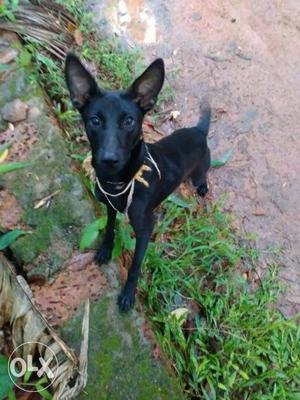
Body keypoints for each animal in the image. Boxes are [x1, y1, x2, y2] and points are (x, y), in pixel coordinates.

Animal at [65, 54, 211, 312]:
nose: (109, 159)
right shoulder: (110, 206)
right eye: (95, 120)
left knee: (204, 173)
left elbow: (135, 266)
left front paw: (128, 295)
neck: (122, 180)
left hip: (198, 171)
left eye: (129, 121)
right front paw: (105, 249)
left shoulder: (145, 229)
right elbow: (110, 228)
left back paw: (203, 185)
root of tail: (198, 129)